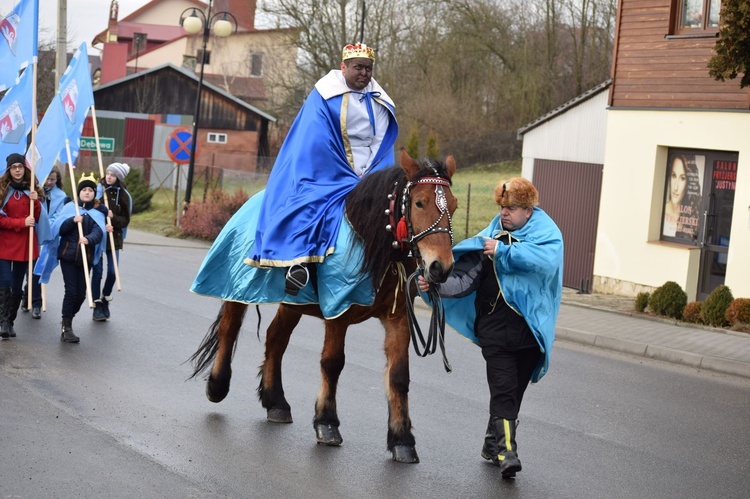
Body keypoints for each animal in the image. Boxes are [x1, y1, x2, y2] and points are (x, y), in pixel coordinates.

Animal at [188, 149, 458, 464]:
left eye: (453, 205)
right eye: (419, 202)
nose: (441, 267)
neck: (369, 241)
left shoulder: (398, 318)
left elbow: (399, 376)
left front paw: (402, 439)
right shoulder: (337, 313)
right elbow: (332, 363)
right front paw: (327, 422)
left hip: (292, 303)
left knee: (275, 338)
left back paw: (275, 401)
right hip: (236, 286)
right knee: (229, 328)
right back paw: (217, 385)